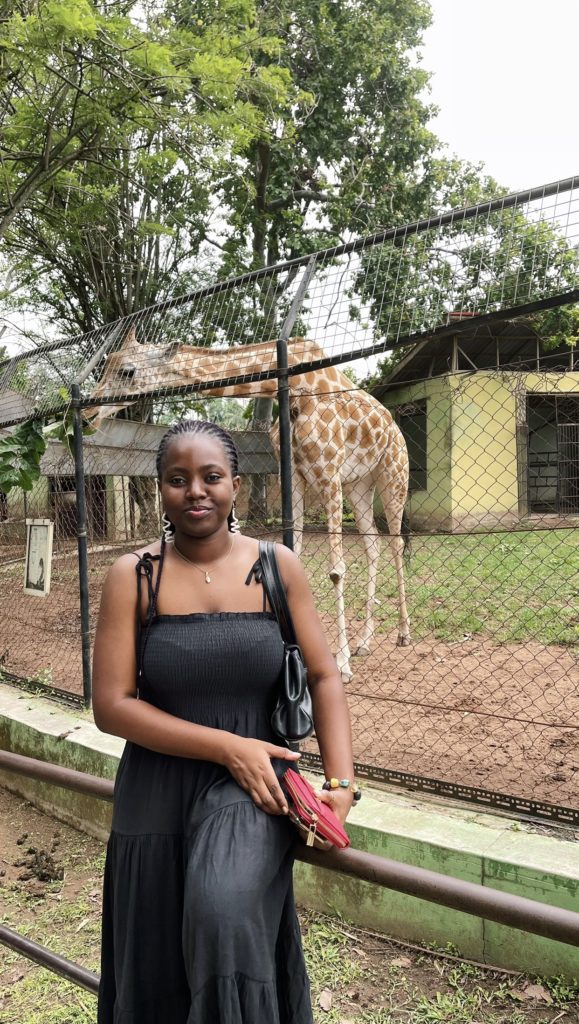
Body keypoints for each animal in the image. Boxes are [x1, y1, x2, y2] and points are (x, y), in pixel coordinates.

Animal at [87, 329, 409, 679]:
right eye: (106, 364)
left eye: (127, 371)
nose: (89, 413)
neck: (297, 386)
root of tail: (395, 425)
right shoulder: (293, 472)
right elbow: (293, 555)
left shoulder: (327, 471)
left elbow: (336, 570)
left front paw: (342, 664)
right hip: (358, 484)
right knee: (373, 543)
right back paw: (366, 641)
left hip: (392, 472)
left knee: (396, 542)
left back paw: (403, 634)